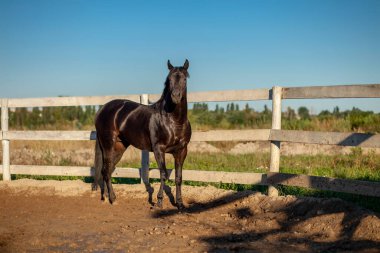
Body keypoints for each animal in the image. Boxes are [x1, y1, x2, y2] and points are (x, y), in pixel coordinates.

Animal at [91, 59, 191, 210]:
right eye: (169, 79)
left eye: (185, 78)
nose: (175, 96)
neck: (174, 121)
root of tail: (102, 109)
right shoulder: (159, 149)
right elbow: (163, 174)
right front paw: (159, 202)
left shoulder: (181, 151)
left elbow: (178, 178)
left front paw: (179, 204)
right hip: (108, 145)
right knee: (106, 170)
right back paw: (113, 199)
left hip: (119, 147)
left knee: (107, 170)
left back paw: (106, 197)